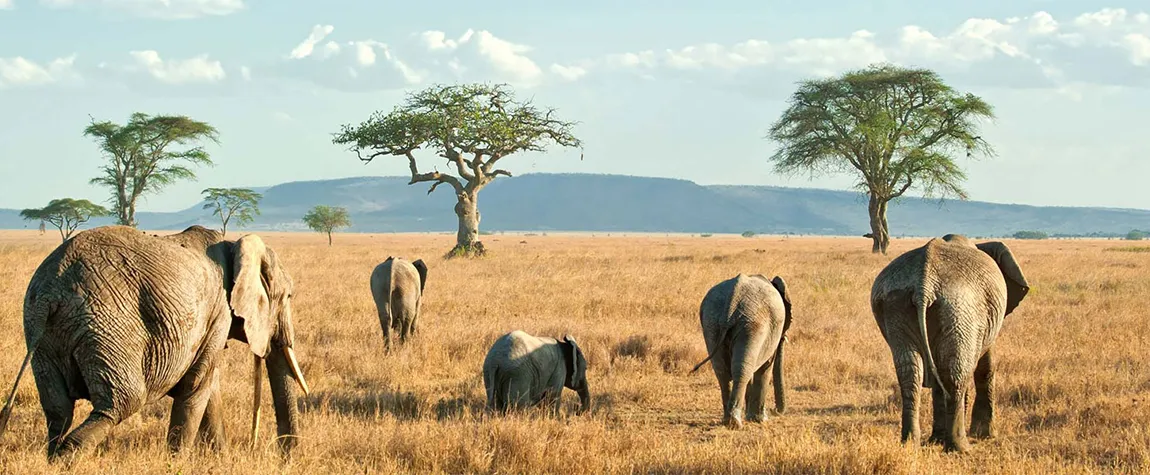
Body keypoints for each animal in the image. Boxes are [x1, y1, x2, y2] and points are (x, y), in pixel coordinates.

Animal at [0, 225, 310, 460]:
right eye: (289, 296)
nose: (286, 457)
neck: (234, 245)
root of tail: (51, 292)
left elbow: (209, 387)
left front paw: (219, 460)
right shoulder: (218, 311)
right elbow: (196, 386)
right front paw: (177, 461)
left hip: (41, 331)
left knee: (58, 408)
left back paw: (52, 458)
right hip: (107, 324)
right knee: (122, 401)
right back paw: (67, 459)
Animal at [690, 272, 791, 427]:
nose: (774, 410)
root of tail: (732, 301)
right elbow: (766, 367)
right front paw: (760, 420)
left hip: (711, 322)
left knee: (722, 371)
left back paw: (727, 421)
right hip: (752, 324)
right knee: (742, 370)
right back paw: (734, 423)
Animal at [869, 233, 1035, 450]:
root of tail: (923, 286)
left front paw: (936, 440)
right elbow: (985, 366)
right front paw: (985, 435)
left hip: (897, 304)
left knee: (910, 372)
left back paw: (910, 444)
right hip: (959, 307)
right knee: (955, 372)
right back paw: (960, 447)